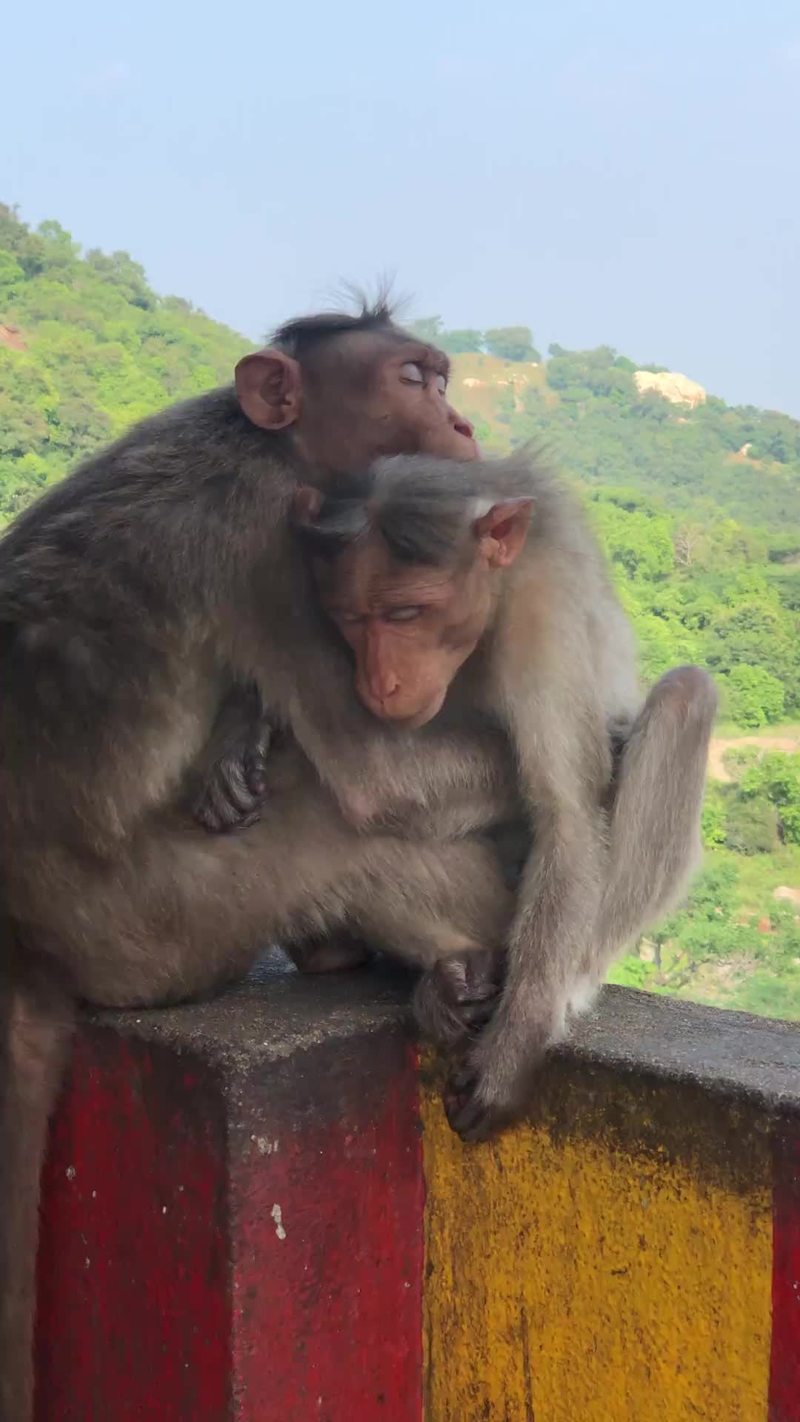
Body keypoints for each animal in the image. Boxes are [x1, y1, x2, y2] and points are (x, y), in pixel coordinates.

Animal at [0, 299, 531, 1422]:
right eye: (414, 380)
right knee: (342, 824)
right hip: (158, 924)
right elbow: (372, 763)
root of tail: (26, 943)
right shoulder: (276, 548)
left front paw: (235, 739)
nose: (461, 423)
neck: (267, 448)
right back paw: (457, 968)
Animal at [291, 449, 718, 1144]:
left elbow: (567, 815)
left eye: (405, 614)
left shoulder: (542, 611)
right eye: (350, 619)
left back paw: (566, 985)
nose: (380, 681)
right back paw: (444, 984)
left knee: (685, 697)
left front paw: (515, 1046)